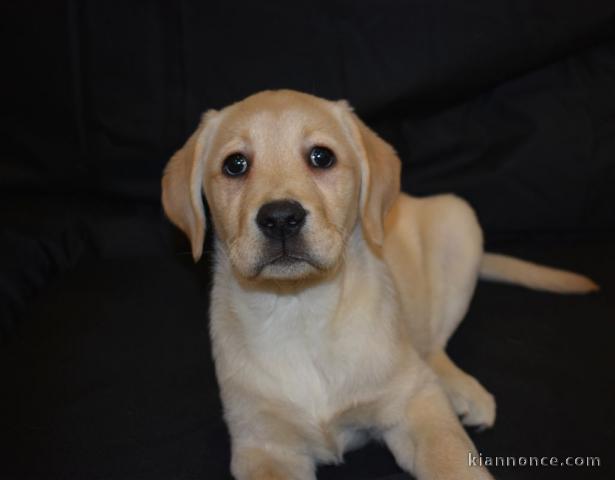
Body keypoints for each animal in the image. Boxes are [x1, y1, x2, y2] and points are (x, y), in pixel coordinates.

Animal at [161, 90, 600, 480]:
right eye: (235, 165)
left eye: (321, 157)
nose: (281, 217)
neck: (299, 308)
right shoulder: (263, 444)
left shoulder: (413, 406)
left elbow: (453, 463)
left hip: (459, 224)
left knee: (431, 346)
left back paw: (461, 389)